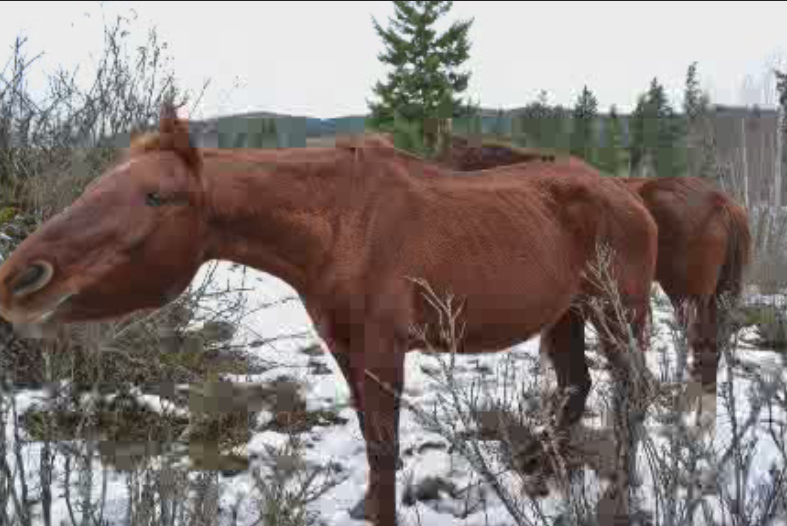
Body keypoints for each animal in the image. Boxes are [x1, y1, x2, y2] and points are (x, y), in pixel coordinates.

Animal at [0, 108, 658, 525]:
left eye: (156, 196)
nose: (21, 279)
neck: (342, 225)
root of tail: (629, 194)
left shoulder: (383, 350)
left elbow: (385, 446)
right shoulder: (344, 347)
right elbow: (368, 437)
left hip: (616, 315)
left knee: (632, 392)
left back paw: (615, 499)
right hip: (568, 314)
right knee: (576, 387)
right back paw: (541, 474)